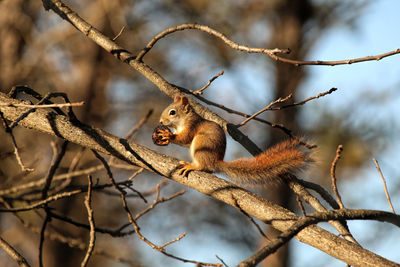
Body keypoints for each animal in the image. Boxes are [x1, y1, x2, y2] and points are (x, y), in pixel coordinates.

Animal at [153, 94, 312, 186]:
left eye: (172, 112)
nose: (160, 121)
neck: (183, 121)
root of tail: (215, 162)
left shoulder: (192, 126)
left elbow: (185, 138)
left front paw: (168, 136)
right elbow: (184, 142)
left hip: (201, 145)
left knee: (203, 166)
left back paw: (192, 165)